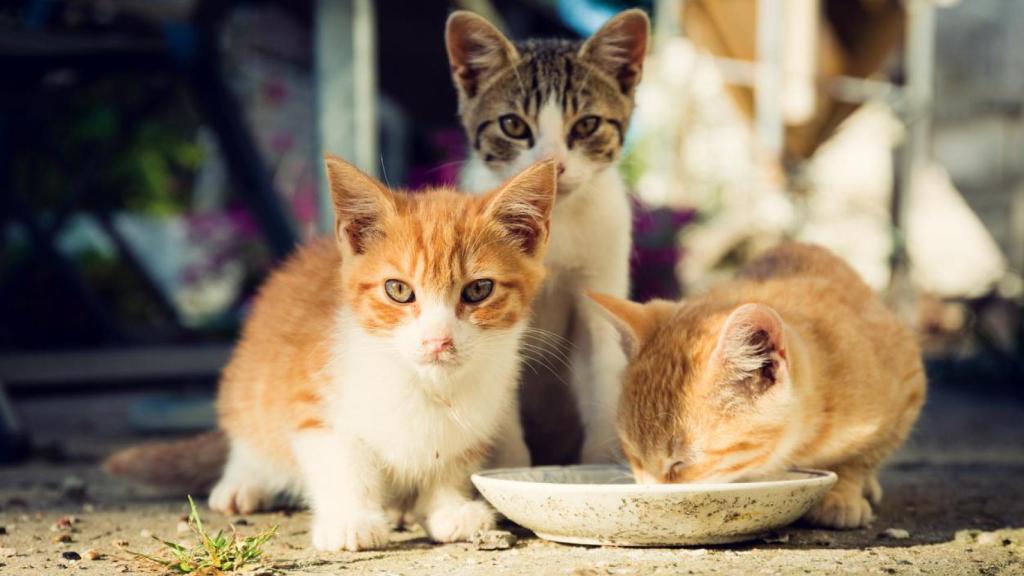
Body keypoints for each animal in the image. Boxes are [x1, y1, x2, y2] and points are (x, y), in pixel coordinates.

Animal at [108, 155, 557, 545]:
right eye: (398, 290)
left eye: (478, 290)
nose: (437, 341)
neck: (424, 384)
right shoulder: (315, 404)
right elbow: (343, 461)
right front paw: (351, 519)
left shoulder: (484, 413)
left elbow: (452, 462)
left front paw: (450, 508)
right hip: (249, 380)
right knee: (249, 428)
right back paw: (243, 481)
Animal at [446, 7, 647, 461]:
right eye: (513, 125)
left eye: (587, 124)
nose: (553, 165)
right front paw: (510, 466)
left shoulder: (600, 281)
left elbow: (603, 371)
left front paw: (597, 466)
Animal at [585, 239, 929, 528]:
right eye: (632, 454)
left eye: (681, 463)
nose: (648, 491)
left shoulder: (908, 383)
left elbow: (862, 456)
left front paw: (842, 494)